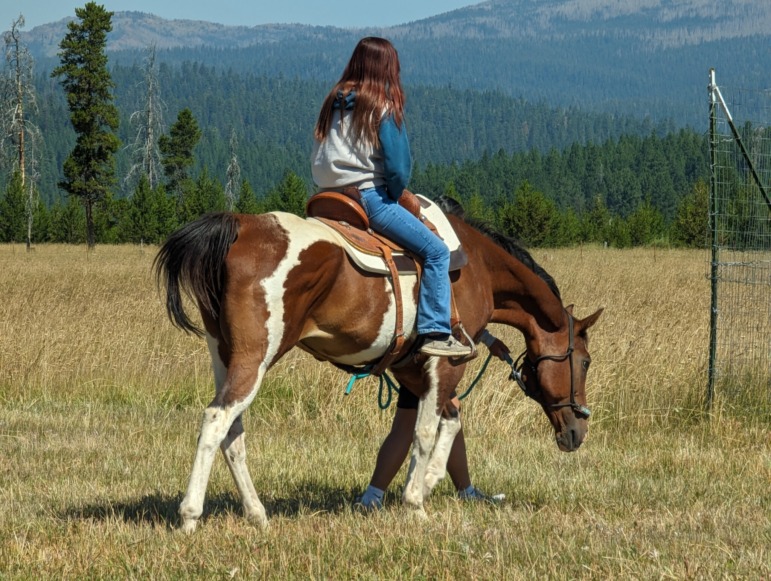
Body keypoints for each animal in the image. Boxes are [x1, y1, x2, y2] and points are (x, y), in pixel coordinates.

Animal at [155, 197, 604, 532]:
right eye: (584, 361)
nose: (578, 430)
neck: (477, 267)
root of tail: (240, 226)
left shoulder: (414, 371)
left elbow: (447, 421)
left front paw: (427, 481)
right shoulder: (444, 366)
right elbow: (427, 430)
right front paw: (417, 501)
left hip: (224, 355)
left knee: (233, 432)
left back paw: (257, 514)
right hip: (255, 358)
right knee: (217, 419)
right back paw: (191, 516)